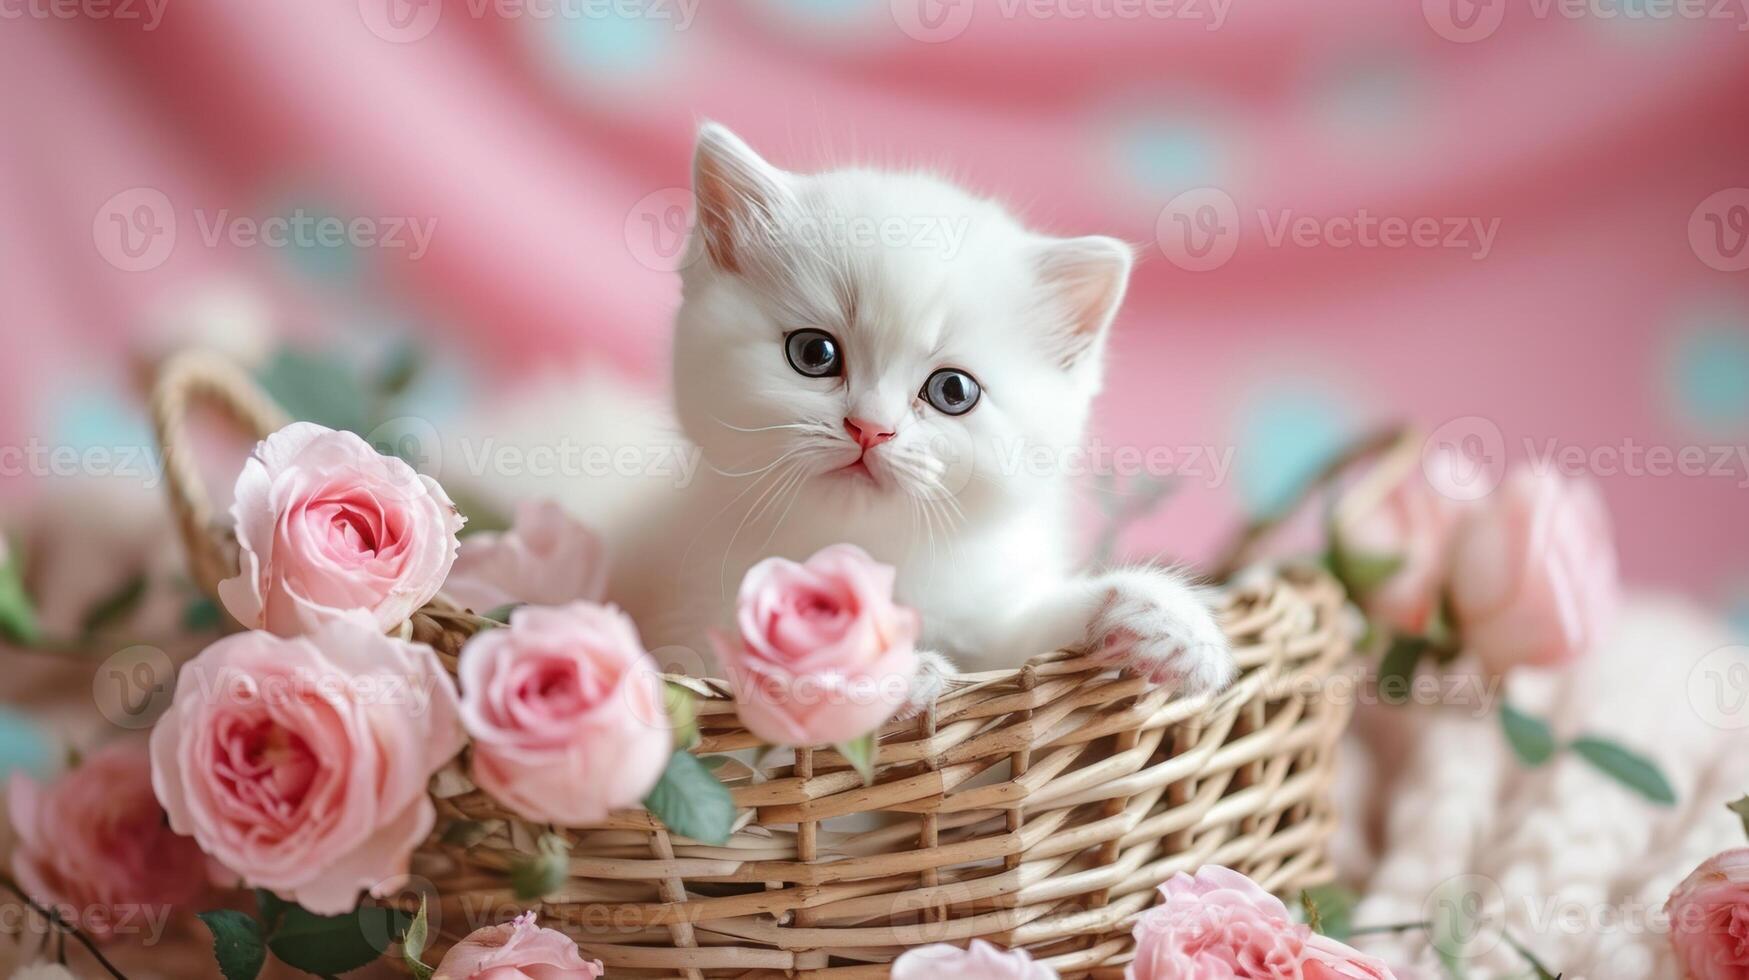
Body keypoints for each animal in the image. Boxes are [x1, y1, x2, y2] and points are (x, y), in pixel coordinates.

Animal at [594, 124, 1238, 703]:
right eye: (814, 353)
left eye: (953, 390)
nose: (869, 428)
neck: (870, 554)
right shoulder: (691, 631)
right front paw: (888, 669)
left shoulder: (990, 622)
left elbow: (1024, 641)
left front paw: (1162, 618)